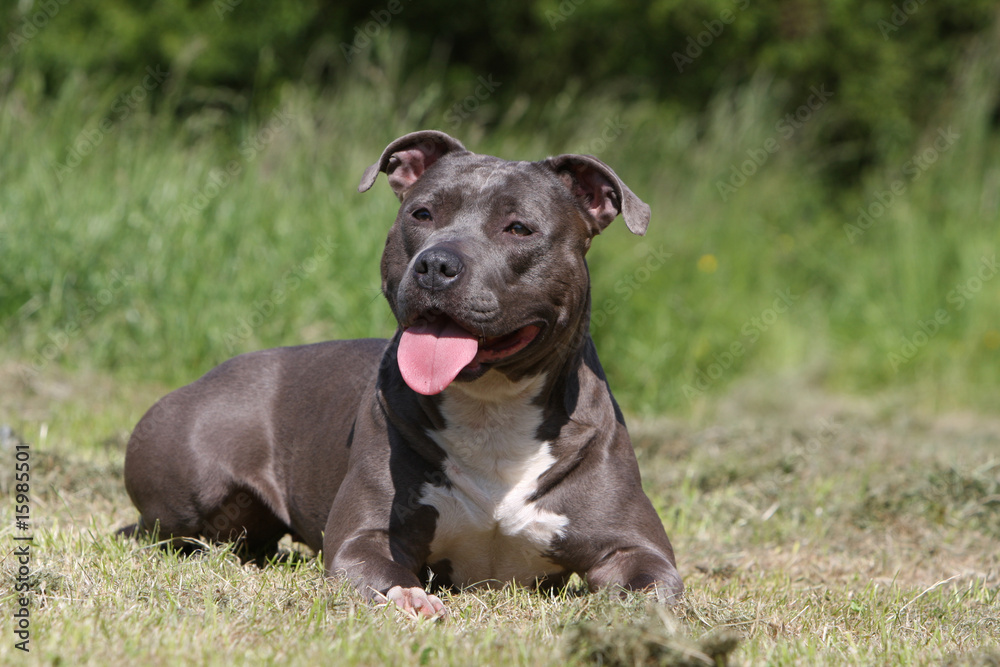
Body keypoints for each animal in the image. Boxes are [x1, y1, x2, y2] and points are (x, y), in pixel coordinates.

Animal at [117, 130, 680, 620]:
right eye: (422, 213)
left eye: (519, 227)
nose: (436, 264)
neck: (491, 406)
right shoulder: (363, 538)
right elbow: (381, 568)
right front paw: (409, 598)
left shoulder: (636, 549)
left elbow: (652, 584)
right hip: (195, 488)